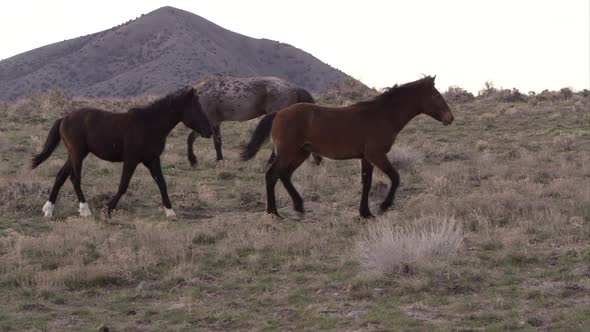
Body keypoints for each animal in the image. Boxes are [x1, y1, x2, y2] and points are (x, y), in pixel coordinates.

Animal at [31, 87, 213, 219]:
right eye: (196, 107)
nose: (209, 131)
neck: (150, 124)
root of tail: (63, 119)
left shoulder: (152, 159)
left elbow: (161, 183)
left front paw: (170, 212)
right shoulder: (131, 160)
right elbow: (123, 186)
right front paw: (107, 210)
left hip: (75, 155)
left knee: (60, 176)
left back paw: (48, 210)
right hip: (77, 154)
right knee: (74, 178)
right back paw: (85, 211)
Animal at [187, 73, 322, 165]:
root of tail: (294, 87)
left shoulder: (210, 122)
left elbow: (208, 141)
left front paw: (195, 160)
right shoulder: (213, 123)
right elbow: (211, 141)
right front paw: (215, 160)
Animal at [243, 76, 456, 219]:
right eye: (435, 95)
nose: (450, 118)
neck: (382, 115)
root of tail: (278, 113)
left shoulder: (366, 158)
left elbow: (366, 183)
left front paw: (365, 213)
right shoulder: (376, 155)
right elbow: (395, 178)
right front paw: (383, 206)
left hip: (300, 154)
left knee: (282, 175)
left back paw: (293, 207)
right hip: (289, 153)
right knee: (272, 174)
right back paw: (277, 211)